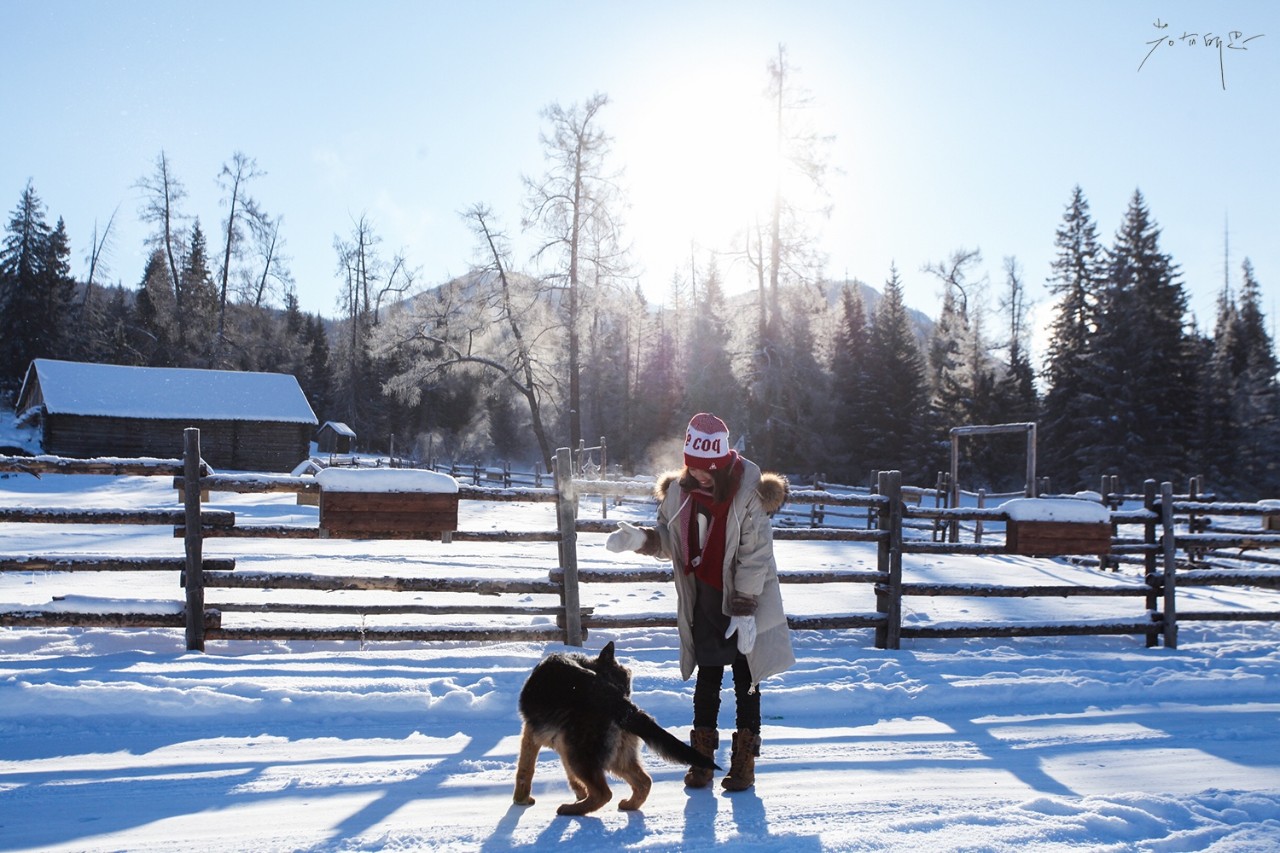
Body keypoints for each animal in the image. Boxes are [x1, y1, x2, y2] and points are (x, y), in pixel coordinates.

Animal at [512, 640, 721, 814]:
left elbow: (525, 769)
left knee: (604, 794)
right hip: (613, 757)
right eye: (625, 685)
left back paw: (572, 809)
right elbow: (570, 776)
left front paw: (521, 799)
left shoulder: (531, 734)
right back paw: (629, 805)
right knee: (644, 782)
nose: (626, 693)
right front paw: (580, 791)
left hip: (581, 756)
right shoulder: (562, 747)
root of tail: (623, 706)